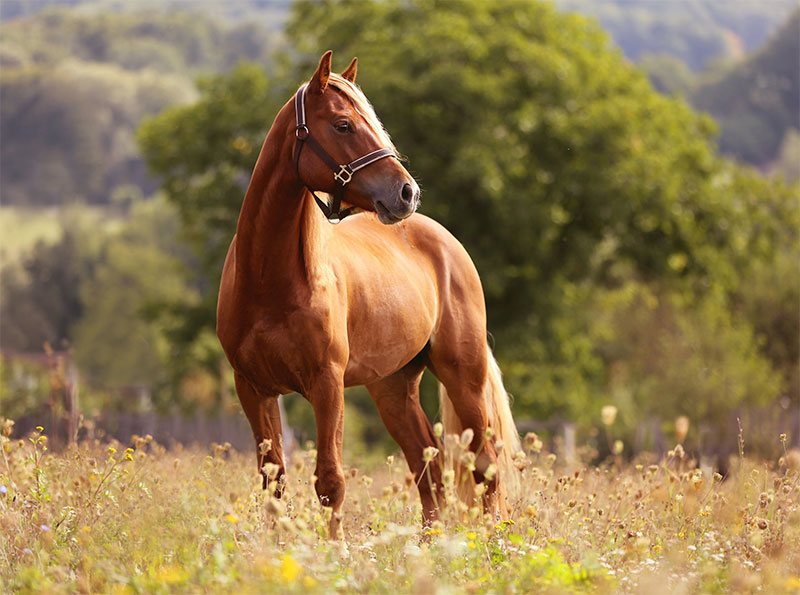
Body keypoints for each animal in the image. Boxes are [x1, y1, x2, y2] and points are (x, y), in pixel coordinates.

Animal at [216, 50, 520, 536]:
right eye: (343, 125)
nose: (406, 192)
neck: (270, 283)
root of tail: (445, 241)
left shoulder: (327, 384)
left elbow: (330, 480)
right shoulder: (253, 388)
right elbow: (273, 483)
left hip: (463, 375)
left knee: (484, 466)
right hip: (393, 387)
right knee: (428, 469)